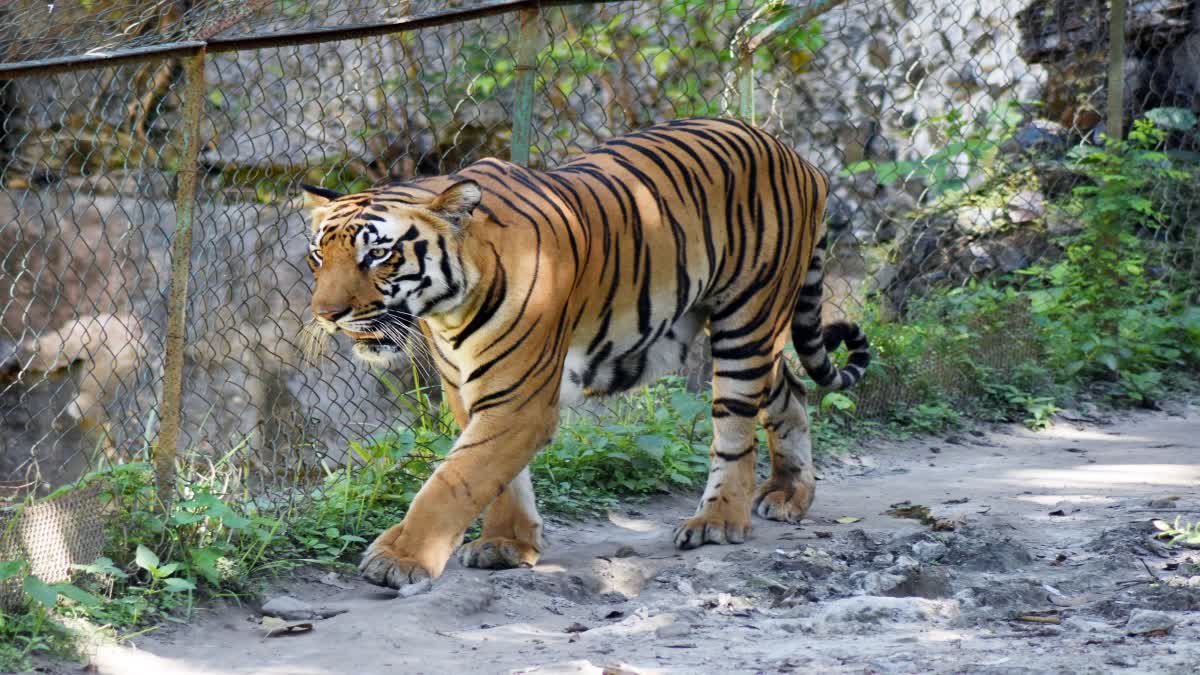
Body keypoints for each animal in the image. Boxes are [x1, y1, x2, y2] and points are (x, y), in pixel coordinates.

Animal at [296, 118, 868, 586]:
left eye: (378, 255)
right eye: (319, 257)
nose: (327, 314)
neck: (447, 310)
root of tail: (798, 157)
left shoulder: (519, 399)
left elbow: (454, 481)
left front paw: (400, 559)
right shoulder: (469, 389)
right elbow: (497, 477)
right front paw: (507, 544)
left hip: (746, 320)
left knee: (734, 432)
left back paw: (718, 521)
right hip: (751, 330)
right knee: (790, 391)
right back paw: (789, 494)